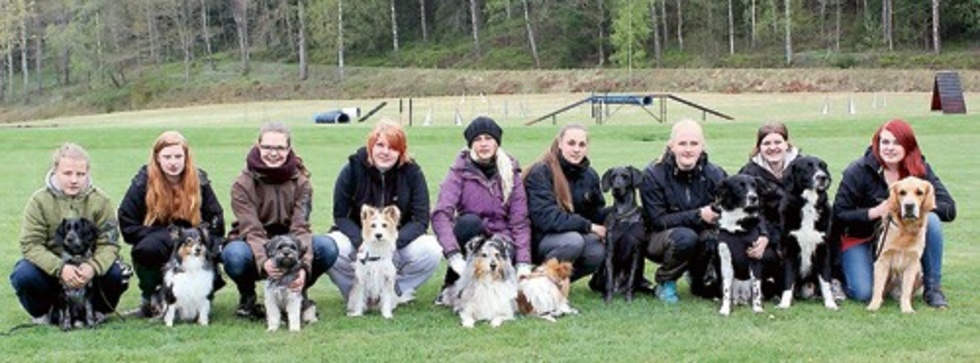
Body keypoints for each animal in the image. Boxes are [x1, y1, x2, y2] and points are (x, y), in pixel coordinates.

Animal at [596, 166, 644, 302]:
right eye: (613, 177)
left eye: (625, 176)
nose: (616, 188)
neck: (624, 214)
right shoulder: (610, 251)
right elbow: (609, 280)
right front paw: (608, 299)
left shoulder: (636, 252)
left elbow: (631, 280)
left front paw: (629, 298)